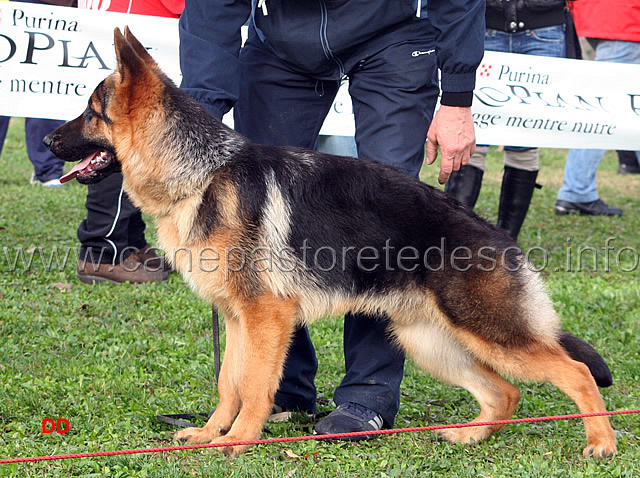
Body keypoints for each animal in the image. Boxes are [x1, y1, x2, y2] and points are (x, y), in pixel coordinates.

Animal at [43, 27, 616, 460]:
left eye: (91, 111)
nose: (48, 140)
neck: (201, 173)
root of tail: (495, 230)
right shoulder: (237, 320)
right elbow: (229, 383)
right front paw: (210, 434)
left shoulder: (267, 318)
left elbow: (254, 386)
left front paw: (239, 440)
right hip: (431, 343)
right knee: (505, 392)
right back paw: (471, 436)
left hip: (490, 333)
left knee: (575, 372)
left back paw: (601, 444)